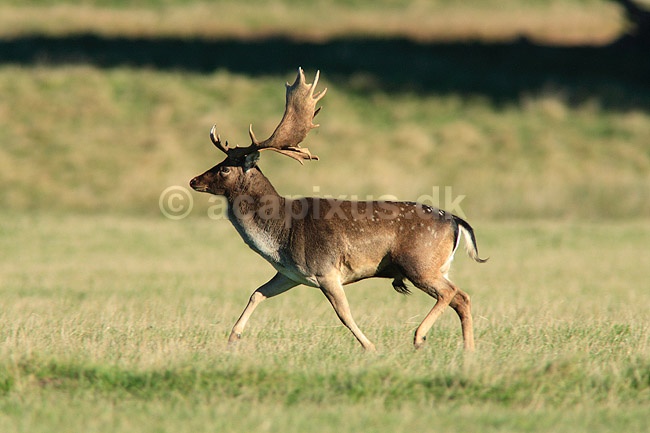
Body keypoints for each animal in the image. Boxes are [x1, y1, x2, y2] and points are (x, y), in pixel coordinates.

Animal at [189, 68, 487, 351]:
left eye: (225, 168)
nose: (193, 180)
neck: (281, 236)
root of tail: (457, 221)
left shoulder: (325, 269)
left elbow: (343, 314)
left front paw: (370, 347)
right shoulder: (291, 274)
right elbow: (257, 293)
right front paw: (233, 337)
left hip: (420, 263)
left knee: (452, 293)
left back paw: (420, 336)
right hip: (438, 266)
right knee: (462, 298)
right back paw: (468, 350)